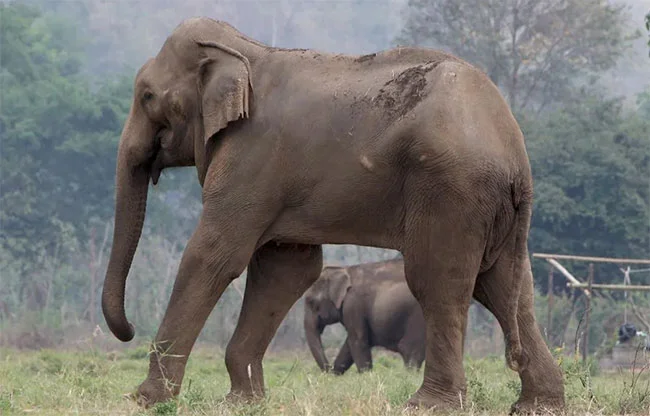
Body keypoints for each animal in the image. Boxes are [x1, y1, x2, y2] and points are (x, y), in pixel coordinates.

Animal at [100, 16, 565, 413]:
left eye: (147, 96)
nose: (129, 329)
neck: (245, 51)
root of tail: (514, 152)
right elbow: (287, 268)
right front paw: (242, 401)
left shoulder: (254, 157)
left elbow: (214, 255)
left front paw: (145, 400)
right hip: (490, 210)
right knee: (506, 287)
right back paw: (538, 405)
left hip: (451, 193)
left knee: (438, 281)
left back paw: (427, 405)